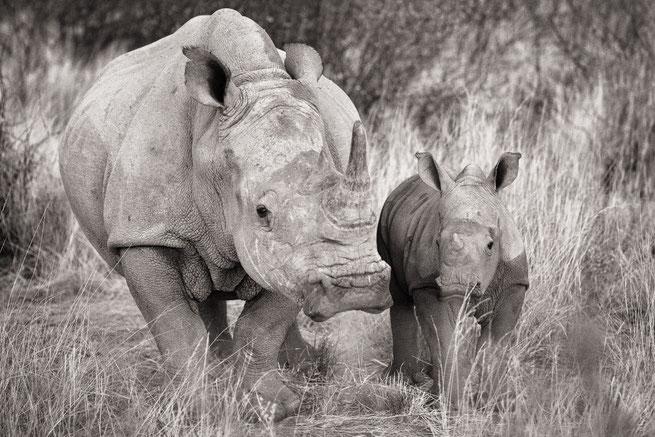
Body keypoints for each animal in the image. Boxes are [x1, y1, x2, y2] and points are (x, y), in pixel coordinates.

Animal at [59, 8, 392, 418]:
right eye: (261, 211)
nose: (357, 291)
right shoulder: (145, 235)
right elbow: (175, 324)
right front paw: (195, 406)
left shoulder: (293, 255)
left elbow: (264, 324)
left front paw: (272, 406)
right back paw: (222, 367)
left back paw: (300, 366)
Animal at [376, 152, 532, 404]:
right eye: (437, 243)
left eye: (491, 245)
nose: (457, 284)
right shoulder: (427, 285)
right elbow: (444, 337)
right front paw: (450, 403)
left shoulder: (514, 283)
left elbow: (494, 345)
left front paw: (491, 404)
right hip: (385, 219)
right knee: (400, 299)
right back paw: (403, 380)